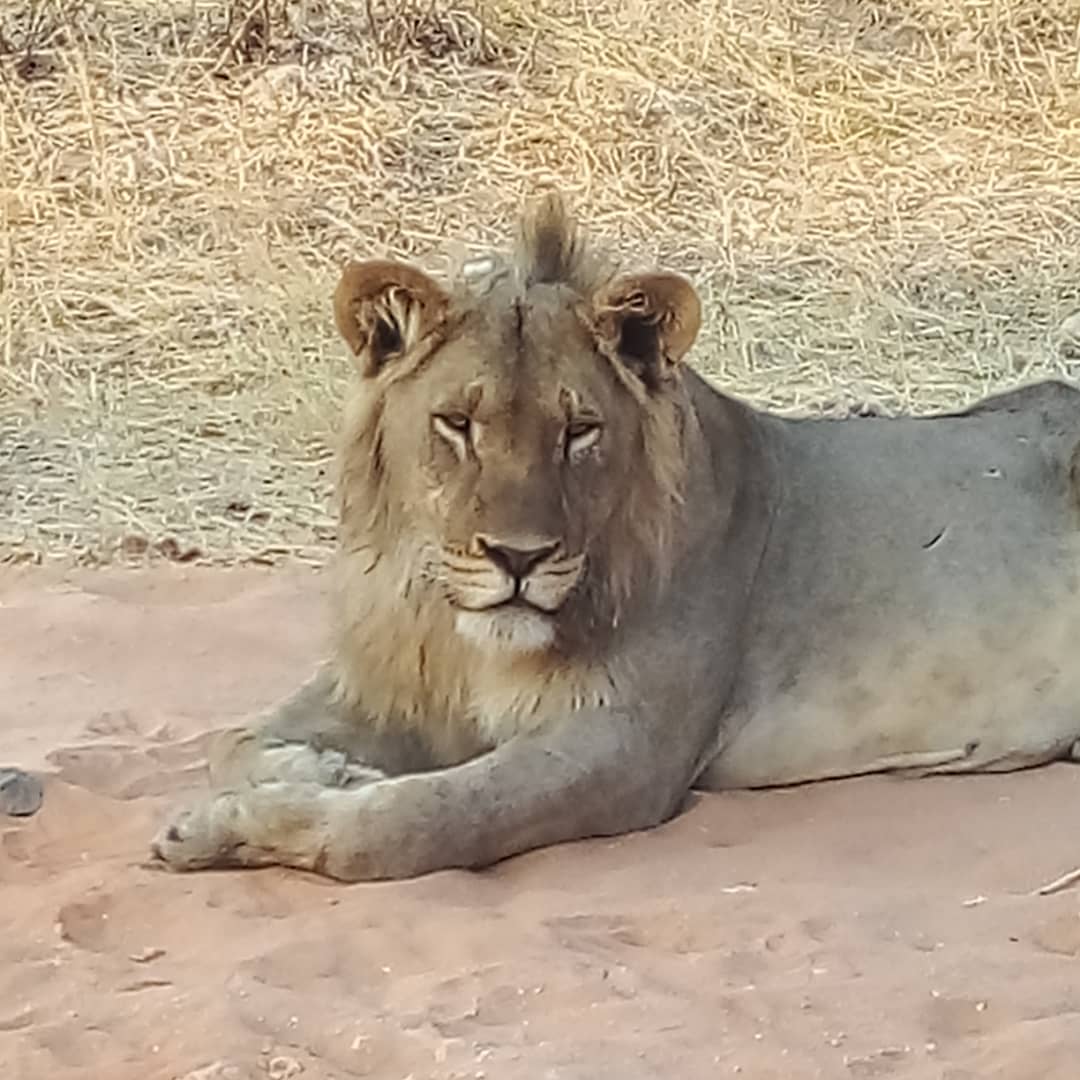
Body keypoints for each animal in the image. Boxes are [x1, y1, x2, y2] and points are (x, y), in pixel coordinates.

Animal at [151, 192, 1080, 882]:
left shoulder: (627, 743)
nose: (517, 559)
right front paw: (314, 775)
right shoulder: (394, 680)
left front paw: (262, 821)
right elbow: (234, 744)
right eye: (457, 423)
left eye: (579, 432)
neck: (466, 634)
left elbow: (416, 821)